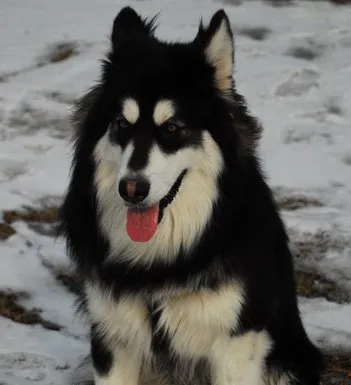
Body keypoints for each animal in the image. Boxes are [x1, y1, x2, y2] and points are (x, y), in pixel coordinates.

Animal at [59, 6, 324, 384]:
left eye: (172, 128)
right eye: (122, 124)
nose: (131, 189)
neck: (160, 265)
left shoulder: (235, 346)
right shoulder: (113, 339)